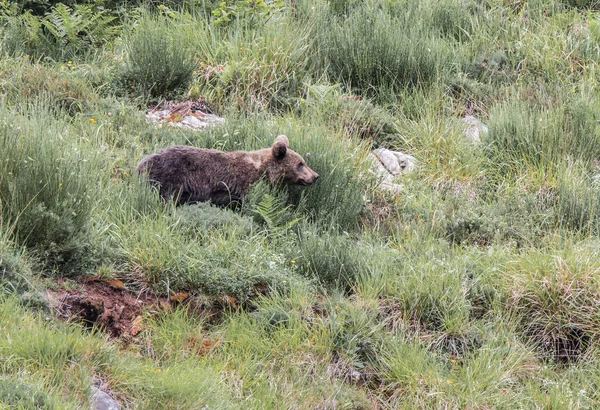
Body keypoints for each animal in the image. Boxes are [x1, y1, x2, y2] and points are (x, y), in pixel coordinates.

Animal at [136, 135, 318, 205]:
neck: (264, 172)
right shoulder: (242, 184)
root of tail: (140, 164)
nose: (315, 175)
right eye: (300, 164)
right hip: (169, 177)